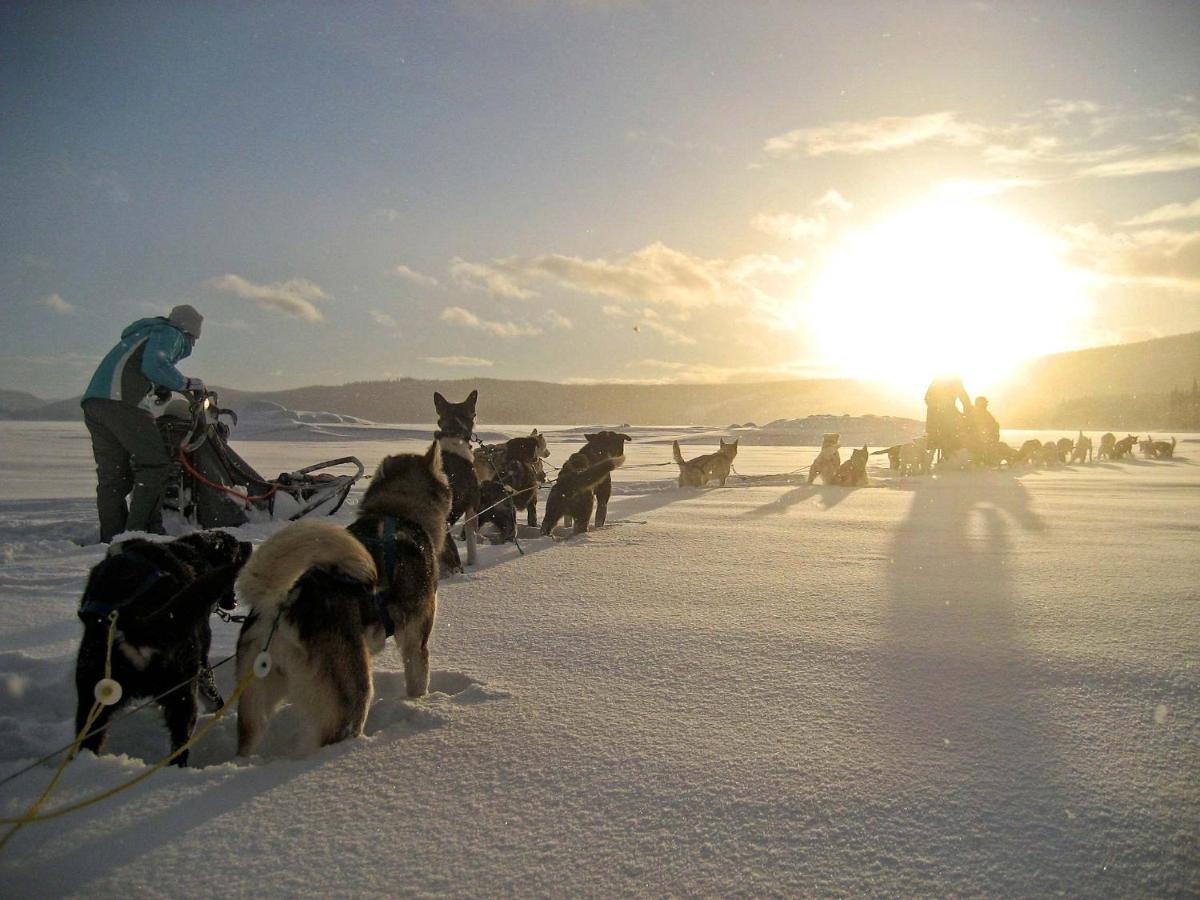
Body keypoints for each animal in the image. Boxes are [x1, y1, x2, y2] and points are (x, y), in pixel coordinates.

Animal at [72, 532, 250, 772]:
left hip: (93, 705)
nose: (249, 544)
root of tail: (132, 622)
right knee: (179, 748)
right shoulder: (201, 663)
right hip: (182, 694)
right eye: (235, 546)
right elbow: (213, 695)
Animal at [234, 448, 451, 758]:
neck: (397, 513)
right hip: (353, 695)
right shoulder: (415, 642)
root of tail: (282, 603)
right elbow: (418, 681)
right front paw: (419, 703)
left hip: (254, 708)